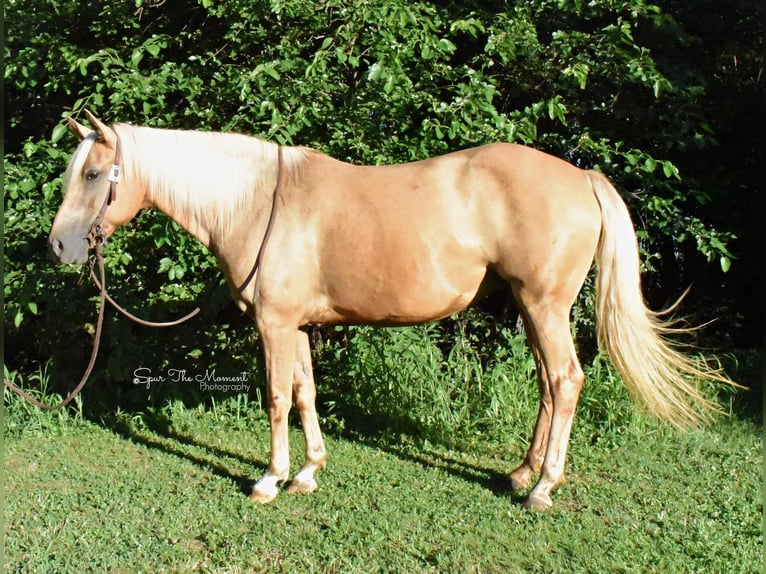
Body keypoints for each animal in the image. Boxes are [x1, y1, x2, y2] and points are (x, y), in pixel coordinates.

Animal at [49, 112, 732, 512]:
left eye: (94, 174)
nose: (59, 246)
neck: (259, 203)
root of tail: (581, 176)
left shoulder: (273, 325)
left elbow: (276, 397)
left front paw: (271, 479)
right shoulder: (296, 325)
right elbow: (305, 393)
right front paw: (309, 472)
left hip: (544, 305)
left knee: (565, 381)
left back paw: (542, 488)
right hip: (534, 308)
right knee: (548, 382)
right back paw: (520, 473)